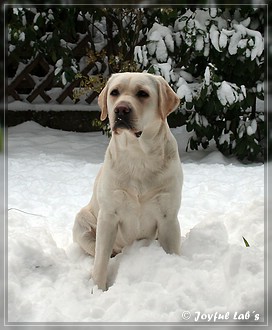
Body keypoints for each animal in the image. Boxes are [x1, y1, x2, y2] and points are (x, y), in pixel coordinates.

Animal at [73, 73, 183, 292]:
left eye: (143, 93)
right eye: (114, 92)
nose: (121, 109)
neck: (138, 154)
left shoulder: (168, 217)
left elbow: (172, 251)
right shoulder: (108, 216)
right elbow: (100, 262)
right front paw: (98, 290)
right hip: (81, 223)